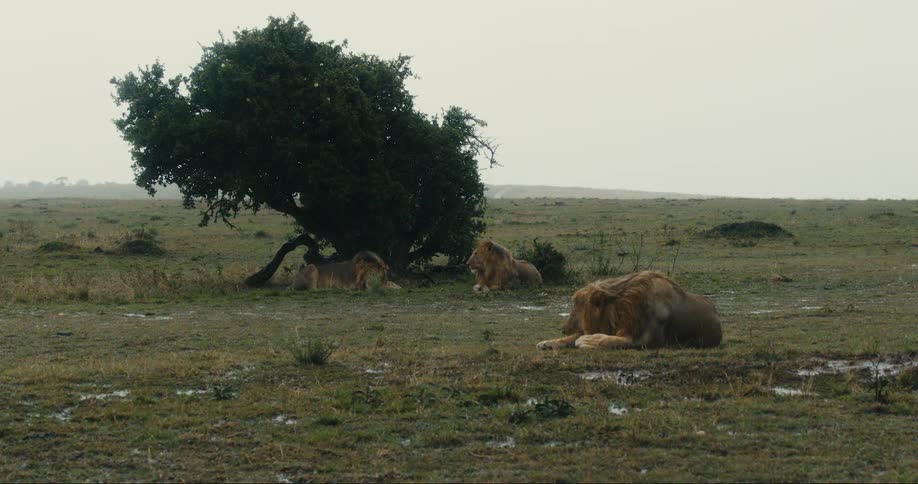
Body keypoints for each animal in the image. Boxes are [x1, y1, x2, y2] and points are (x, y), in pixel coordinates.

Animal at [536, 271, 722, 350]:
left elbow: (611, 341)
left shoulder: (646, 340)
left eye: (575, 307)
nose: (563, 328)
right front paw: (546, 342)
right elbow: (570, 338)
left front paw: (590, 340)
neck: (621, 309)